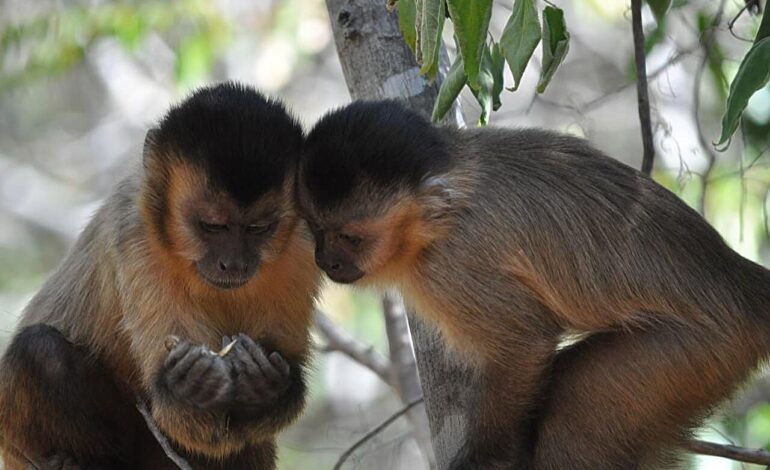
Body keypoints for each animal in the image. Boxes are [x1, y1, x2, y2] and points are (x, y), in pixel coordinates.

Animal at [0, 82, 318, 468]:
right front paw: (189, 387)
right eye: (213, 226)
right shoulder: (136, 237)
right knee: (40, 351)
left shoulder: (304, 245)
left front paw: (265, 387)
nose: (234, 264)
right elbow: (182, 417)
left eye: (258, 228)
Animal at [296, 101, 770, 468]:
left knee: (575, 414)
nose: (325, 260)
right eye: (316, 229)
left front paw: (485, 460)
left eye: (351, 238)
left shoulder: (455, 264)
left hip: (699, 351)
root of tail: (740, 281)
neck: (437, 220)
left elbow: (525, 341)